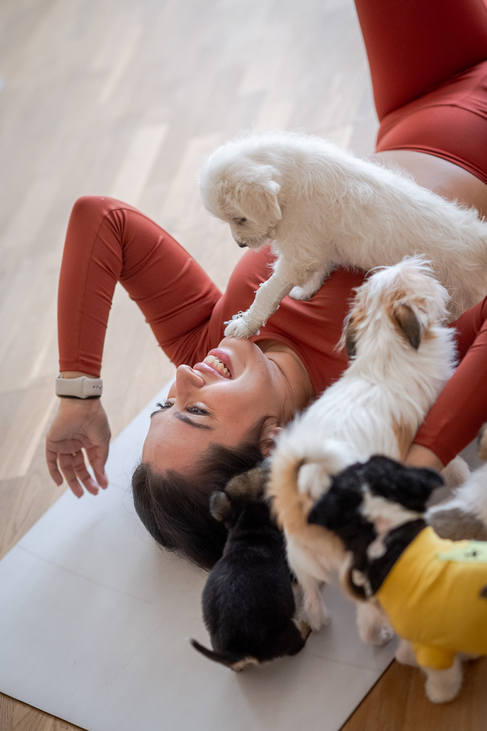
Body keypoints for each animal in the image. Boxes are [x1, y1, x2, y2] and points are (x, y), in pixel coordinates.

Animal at [189, 466, 310, 672]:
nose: (268, 463)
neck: (249, 523)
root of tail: (236, 651)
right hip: (284, 632)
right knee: (297, 643)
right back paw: (306, 627)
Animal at [198, 129, 487, 340]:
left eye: (240, 219)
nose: (240, 245)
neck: (290, 185)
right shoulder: (314, 246)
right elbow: (318, 268)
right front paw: (305, 291)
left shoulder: (298, 252)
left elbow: (267, 292)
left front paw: (244, 325)